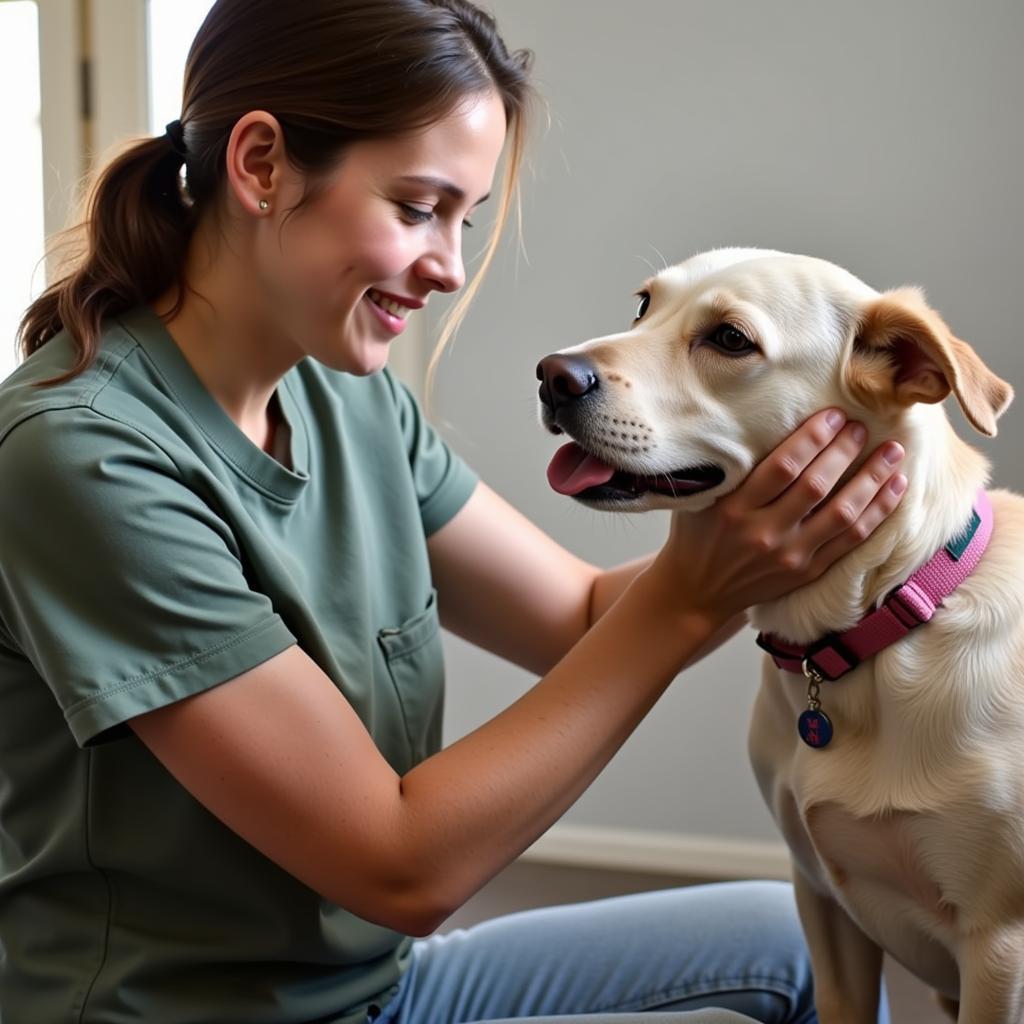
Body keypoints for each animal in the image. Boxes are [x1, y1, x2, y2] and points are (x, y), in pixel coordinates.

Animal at [536, 249, 1024, 1024]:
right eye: (643, 305)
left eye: (730, 340)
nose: (552, 374)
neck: (881, 617)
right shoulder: (822, 902)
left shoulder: (998, 948)